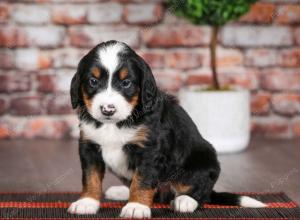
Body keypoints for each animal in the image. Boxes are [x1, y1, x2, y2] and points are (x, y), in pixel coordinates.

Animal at [67, 40, 264, 217]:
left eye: (126, 83)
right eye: (93, 81)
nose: (108, 109)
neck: (115, 124)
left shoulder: (150, 150)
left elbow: (142, 180)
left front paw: (136, 207)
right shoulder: (89, 145)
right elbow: (90, 177)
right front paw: (87, 202)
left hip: (204, 160)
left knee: (202, 192)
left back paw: (185, 200)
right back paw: (121, 191)